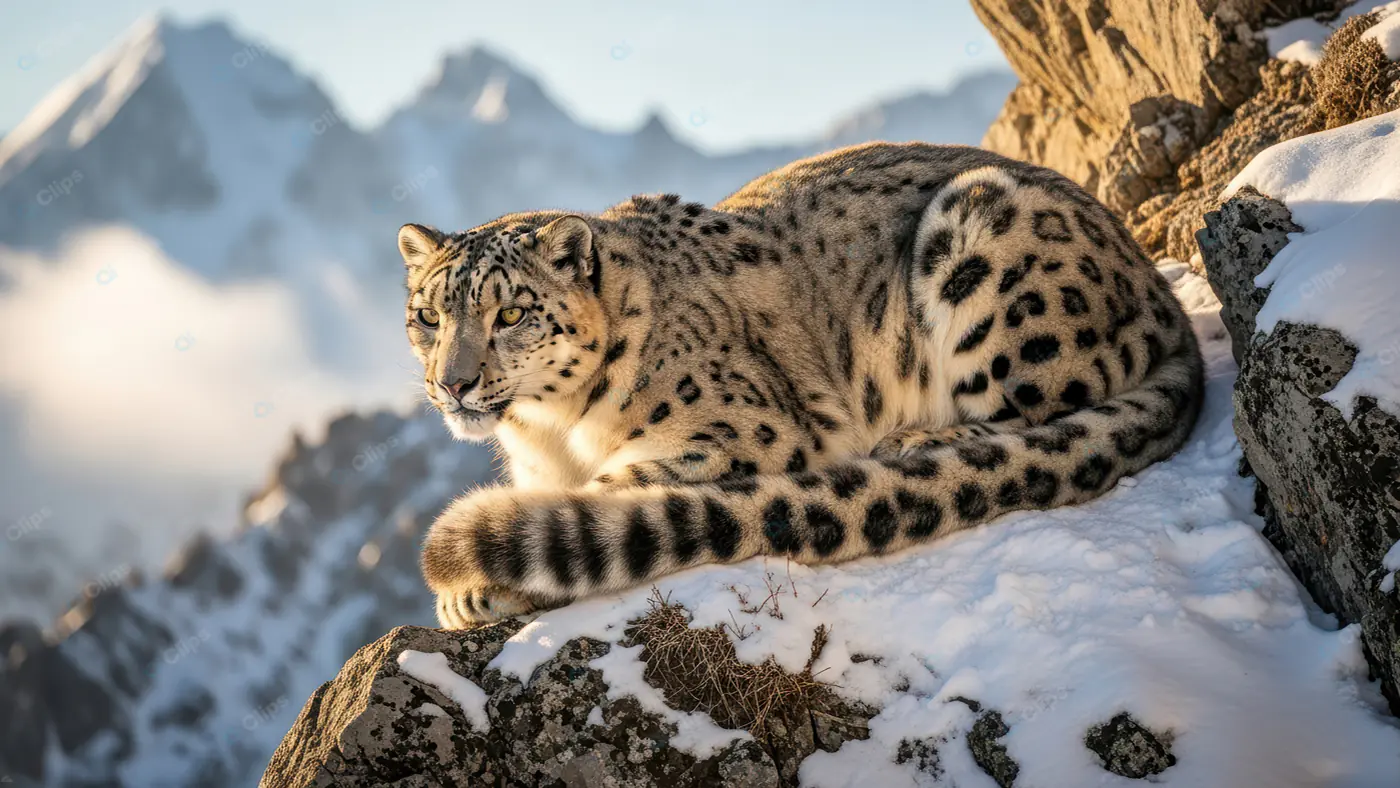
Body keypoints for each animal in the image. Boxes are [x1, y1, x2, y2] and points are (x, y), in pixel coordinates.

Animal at [398, 142, 1204, 629]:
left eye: (510, 313)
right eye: (429, 316)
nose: (453, 385)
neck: (551, 434)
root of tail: (1160, 294)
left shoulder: (741, 433)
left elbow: (617, 486)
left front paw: (479, 584)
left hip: (990, 252)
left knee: (1041, 410)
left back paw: (919, 438)